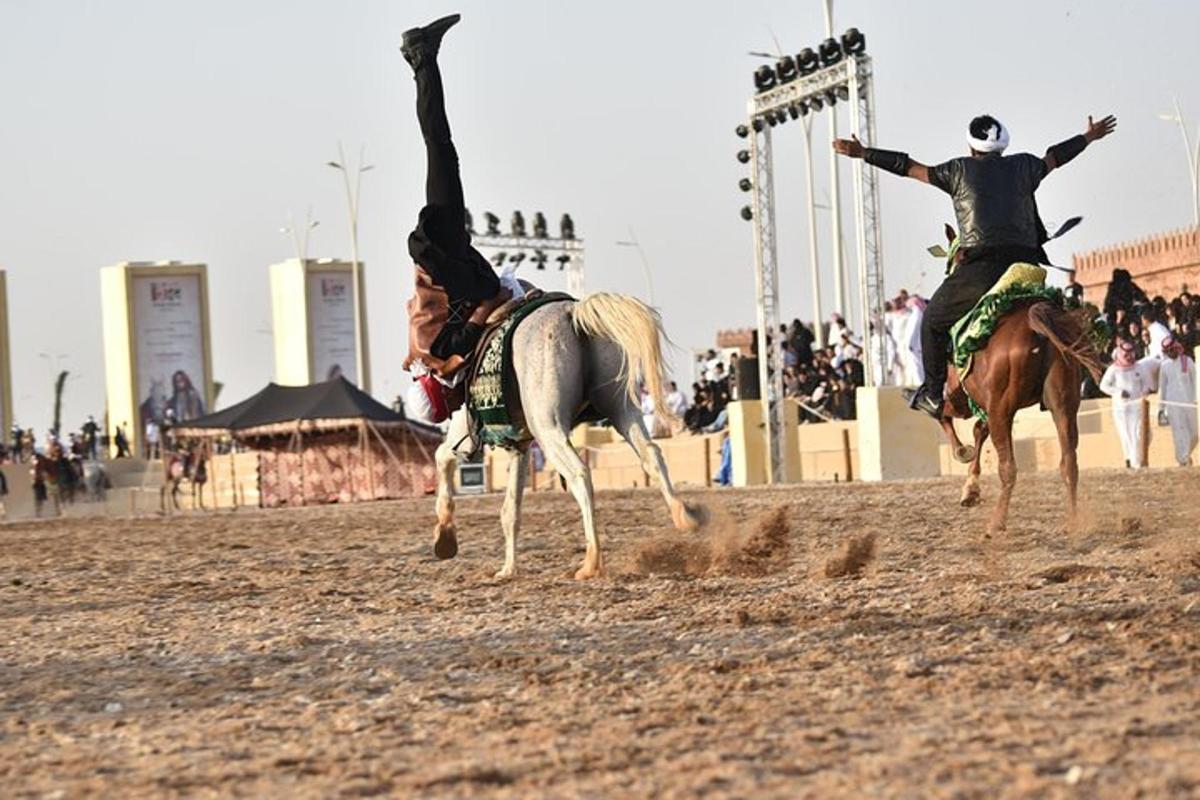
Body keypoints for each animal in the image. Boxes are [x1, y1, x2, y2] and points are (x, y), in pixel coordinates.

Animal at [936, 253, 1104, 537]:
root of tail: (1034, 320)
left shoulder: (964, 401)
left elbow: (946, 418)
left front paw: (962, 456)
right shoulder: (986, 405)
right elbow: (979, 430)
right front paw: (970, 489)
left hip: (1002, 408)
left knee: (1008, 468)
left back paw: (996, 523)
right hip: (1063, 404)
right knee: (1069, 462)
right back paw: (1073, 521)